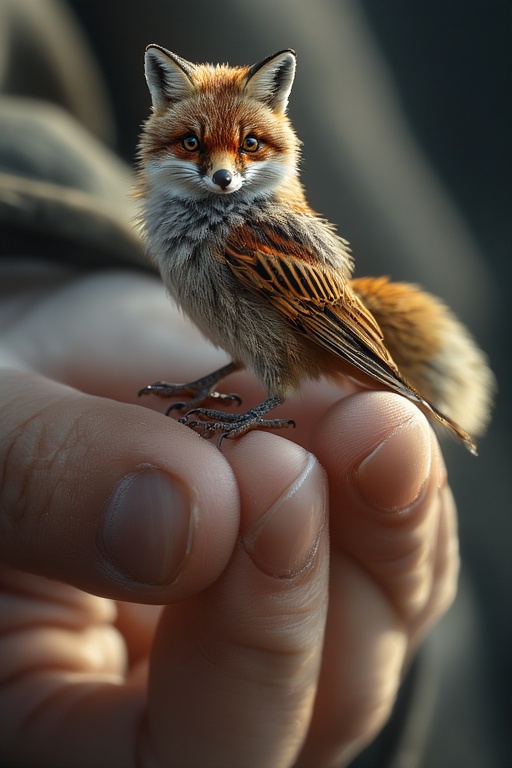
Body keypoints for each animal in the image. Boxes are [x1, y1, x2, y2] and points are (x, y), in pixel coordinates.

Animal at [135, 46, 494, 452]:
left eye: (250, 144)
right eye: (191, 142)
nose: (223, 178)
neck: (213, 218)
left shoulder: (271, 346)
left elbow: (277, 396)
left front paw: (236, 421)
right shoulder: (237, 337)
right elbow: (226, 367)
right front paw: (192, 387)